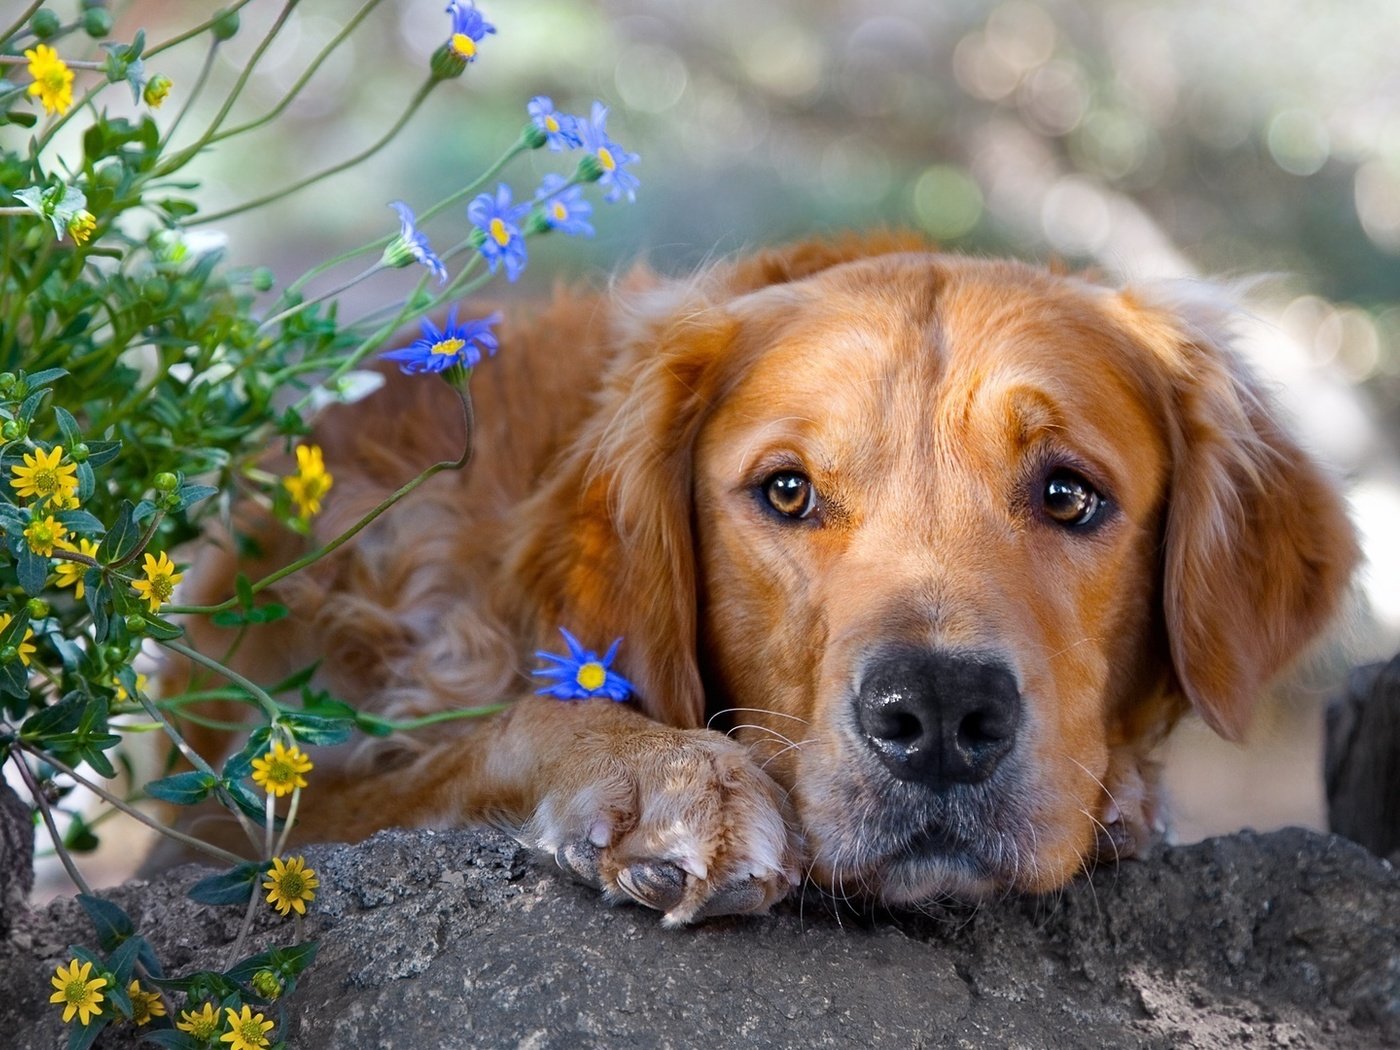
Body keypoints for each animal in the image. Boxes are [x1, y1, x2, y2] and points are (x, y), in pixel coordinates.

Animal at [175, 233, 1355, 924]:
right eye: (787, 491)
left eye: (1068, 495)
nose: (937, 714)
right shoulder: (248, 813)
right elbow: (495, 731)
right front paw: (660, 775)